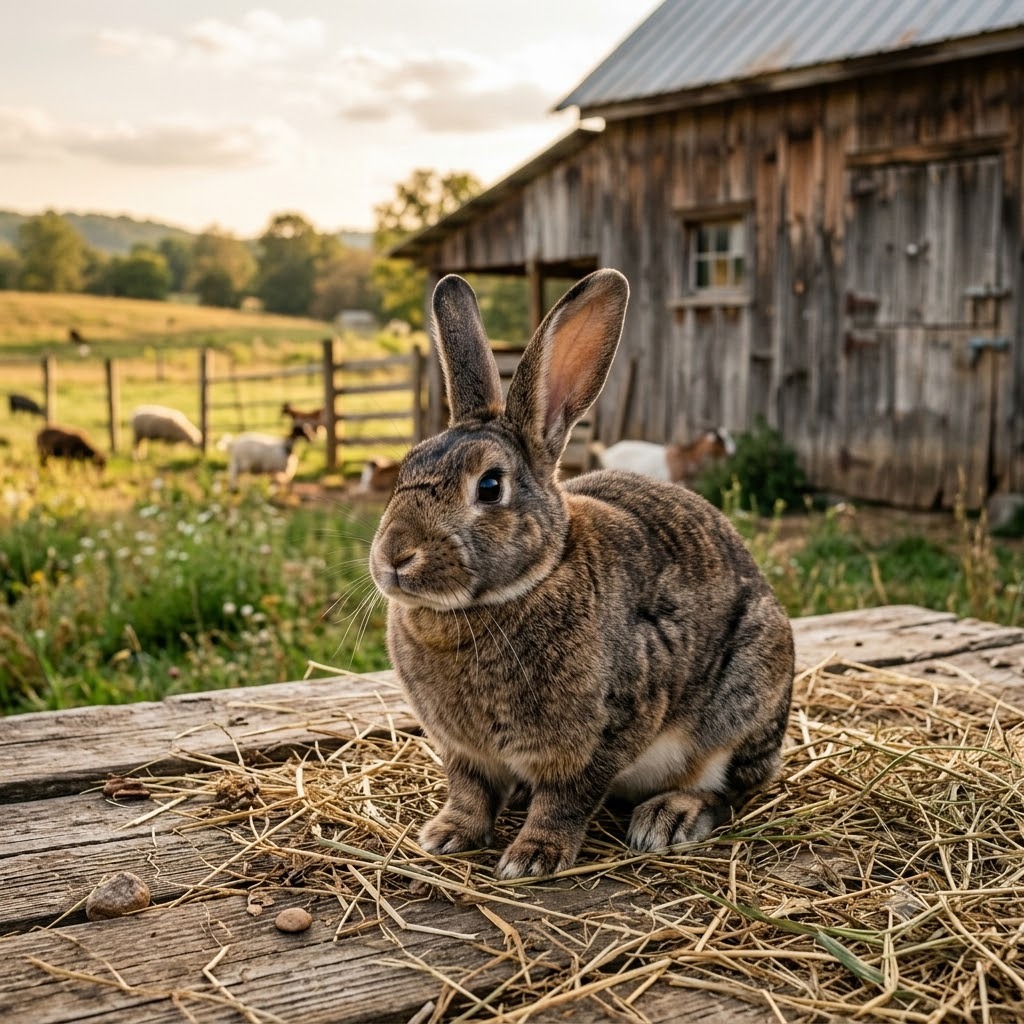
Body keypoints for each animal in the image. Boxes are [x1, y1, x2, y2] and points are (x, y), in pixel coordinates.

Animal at [368, 269, 794, 879]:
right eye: (406, 467)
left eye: (490, 486)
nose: (394, 556)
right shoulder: (462, 752)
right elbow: (469, 792)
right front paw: (447, 835)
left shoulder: (604, 733)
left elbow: (566, 799)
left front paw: (532, 857)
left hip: (745, 700)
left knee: (730, 788)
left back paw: (669, 817)